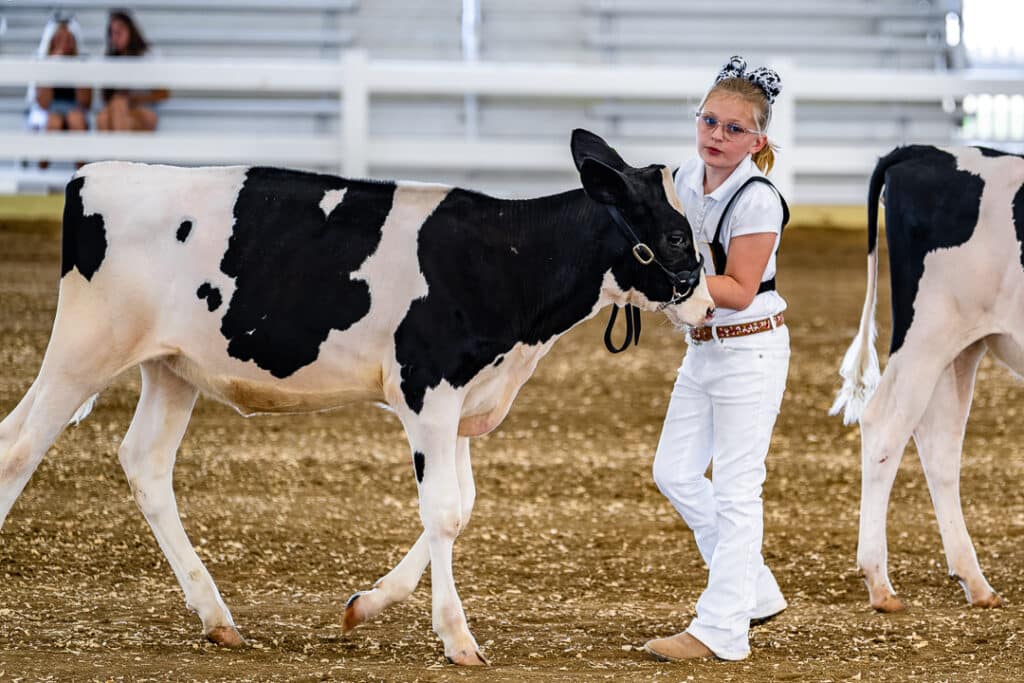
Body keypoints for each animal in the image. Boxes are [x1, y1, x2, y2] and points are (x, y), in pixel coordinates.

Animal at [0, 129, 713, 665]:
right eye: (678, 238)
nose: (708, 306)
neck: (506, 259)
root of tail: (96, 174)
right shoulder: (427, 389)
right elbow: (444, 512)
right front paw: (457, 638)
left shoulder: (461, 402)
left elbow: (462, 507)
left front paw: (367, 604)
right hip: (84, 349)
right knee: (21, 445)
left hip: (170, 367)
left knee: (143, 462)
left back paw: (218, 617)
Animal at [831, 144, 1024, 614]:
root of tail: (929, 150)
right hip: (927, 332)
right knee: (885, 425)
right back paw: (880, 584)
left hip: (959, 347)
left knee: (940, 444)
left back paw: (975, 581)